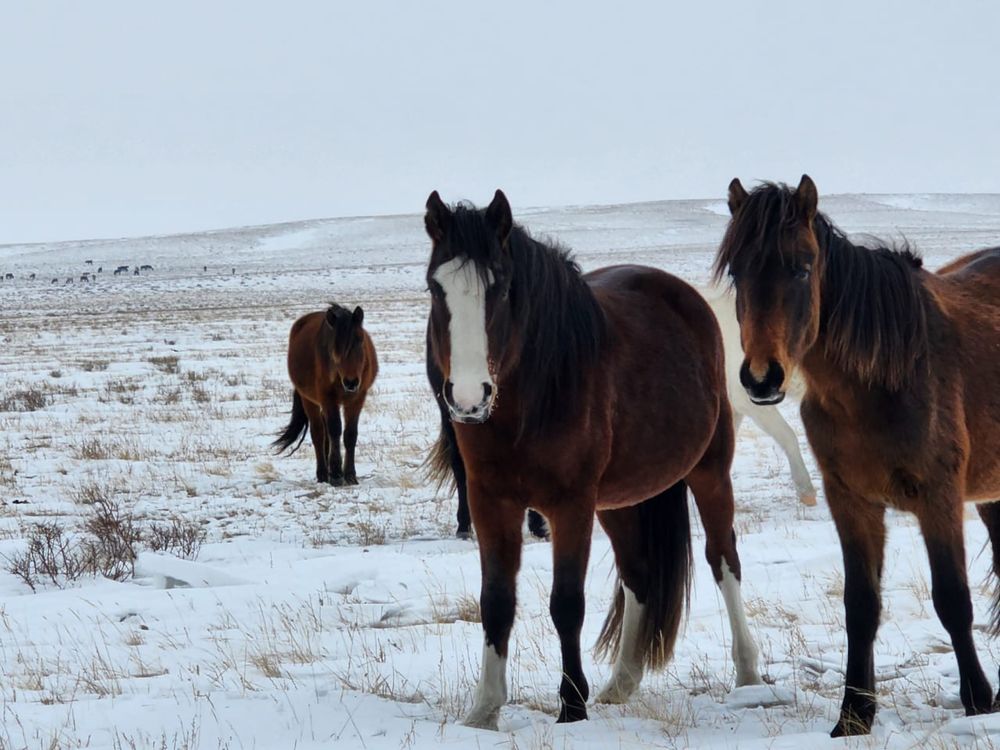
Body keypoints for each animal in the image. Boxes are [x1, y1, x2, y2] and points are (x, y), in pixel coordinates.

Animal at [274, 304, 378, 488]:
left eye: (360, 340)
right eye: (335, 348)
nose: (351, 382)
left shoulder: (357, 399)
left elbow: (350, 434)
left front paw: (350, 475)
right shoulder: (328, 398)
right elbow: (335, 429)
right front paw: (336, 474)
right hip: (309, 400)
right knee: (318, 433)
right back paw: (323, 474)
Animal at [422, 191, 756, 732]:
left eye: (502, 288)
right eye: (436, 287)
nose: (469, 398)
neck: (530, 400)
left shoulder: (570, 506)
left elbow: (566, 604)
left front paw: (571, 706)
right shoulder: (491, 502)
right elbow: (496, 602)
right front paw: (484, 711)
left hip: (708, 472)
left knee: (723, 560)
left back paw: (748, 674)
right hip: (618, 501)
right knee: (639, 574)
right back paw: (621, 682)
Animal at [716, 176, 1000, 740]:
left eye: (802, 266)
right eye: (737, 271)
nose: (761, 378)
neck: (882, 379)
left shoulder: (938, 498)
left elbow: (952, 599)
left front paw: (979, 702)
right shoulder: (850, 501)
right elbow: (861, 606)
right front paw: (853, 714)